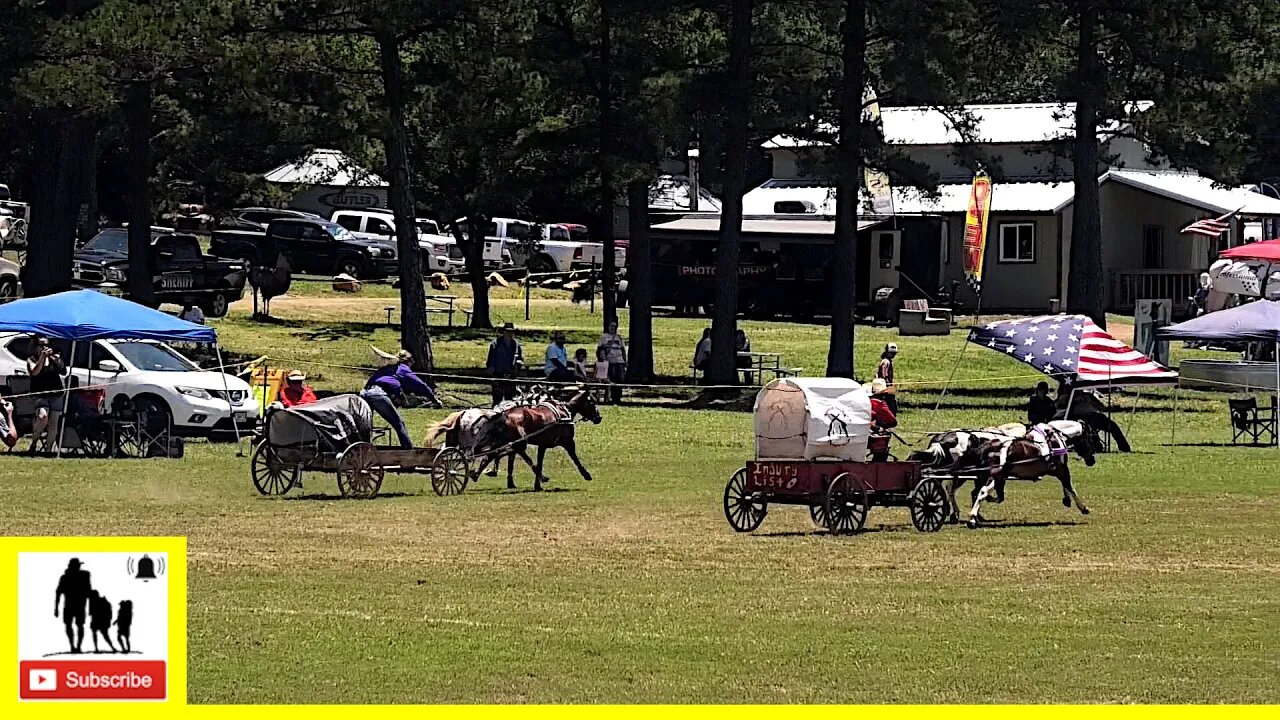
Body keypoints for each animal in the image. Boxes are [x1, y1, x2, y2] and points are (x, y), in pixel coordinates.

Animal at [476, 386, 604, 491]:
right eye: (592, 401)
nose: (598, 418)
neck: (564, 410)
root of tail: (505, 414)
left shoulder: (543, 446)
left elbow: (539, 462)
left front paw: (537, 485)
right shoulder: (568, 442)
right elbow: (575, 458)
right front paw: (586, 474)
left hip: (511, 442)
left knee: (501, 452)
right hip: (520, 442)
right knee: (507, 452)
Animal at [957, 420, 1095, 527]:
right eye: (1090, 438)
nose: (1092, 461)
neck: (1053, 438)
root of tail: (988, 446)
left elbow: (1066, 485)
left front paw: (1067, 500)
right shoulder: (1062, 469)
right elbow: (1070, 487)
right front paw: (1083, 508)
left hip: (994, 477)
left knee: (980, 493)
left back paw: (975, 517)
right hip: (996, 477)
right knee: (983, 492)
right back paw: (973, 518)